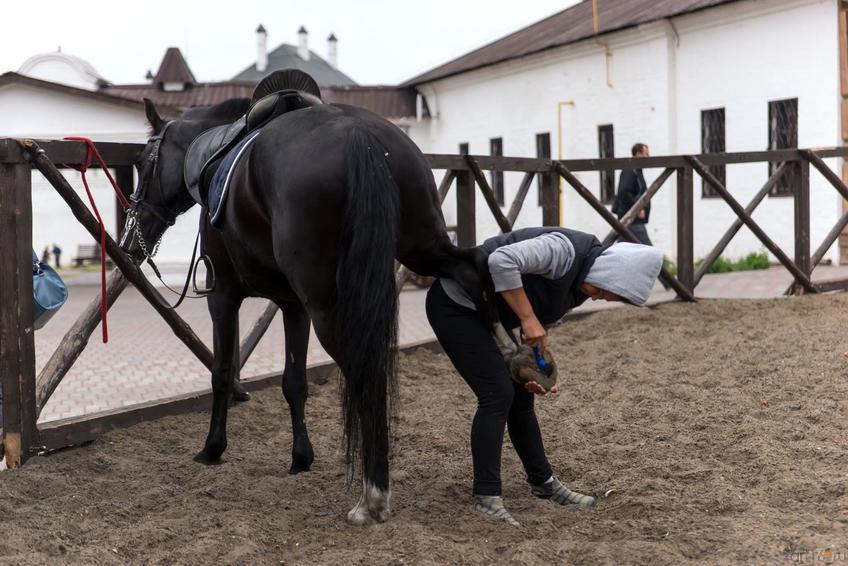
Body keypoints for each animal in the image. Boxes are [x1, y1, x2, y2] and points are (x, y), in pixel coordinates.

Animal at [121, 73, 486, 524]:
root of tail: (359, 136)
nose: (133, 232)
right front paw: (301, 457)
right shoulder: (293, 305)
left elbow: (222, 373)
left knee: (365, 370)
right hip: (422, 247)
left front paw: (212, 448)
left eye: (141, 162)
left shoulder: (223, 295)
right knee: (471, 273)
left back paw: (373, 494)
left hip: (329, 302)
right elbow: (294, 381)